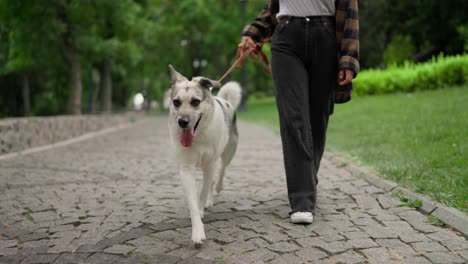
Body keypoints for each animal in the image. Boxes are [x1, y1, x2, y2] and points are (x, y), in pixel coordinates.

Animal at [167, 65, 241, 244]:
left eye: (195, 102)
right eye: (176, 102)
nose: (182, 122)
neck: (198, 135)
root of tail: (224, 100)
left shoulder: (209, 164)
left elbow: (203, 191)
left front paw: (202, 208)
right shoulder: (186, 168)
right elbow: (193, 201)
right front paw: (197, 230)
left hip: (228, 151)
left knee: (221, 171)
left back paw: (217, 188)